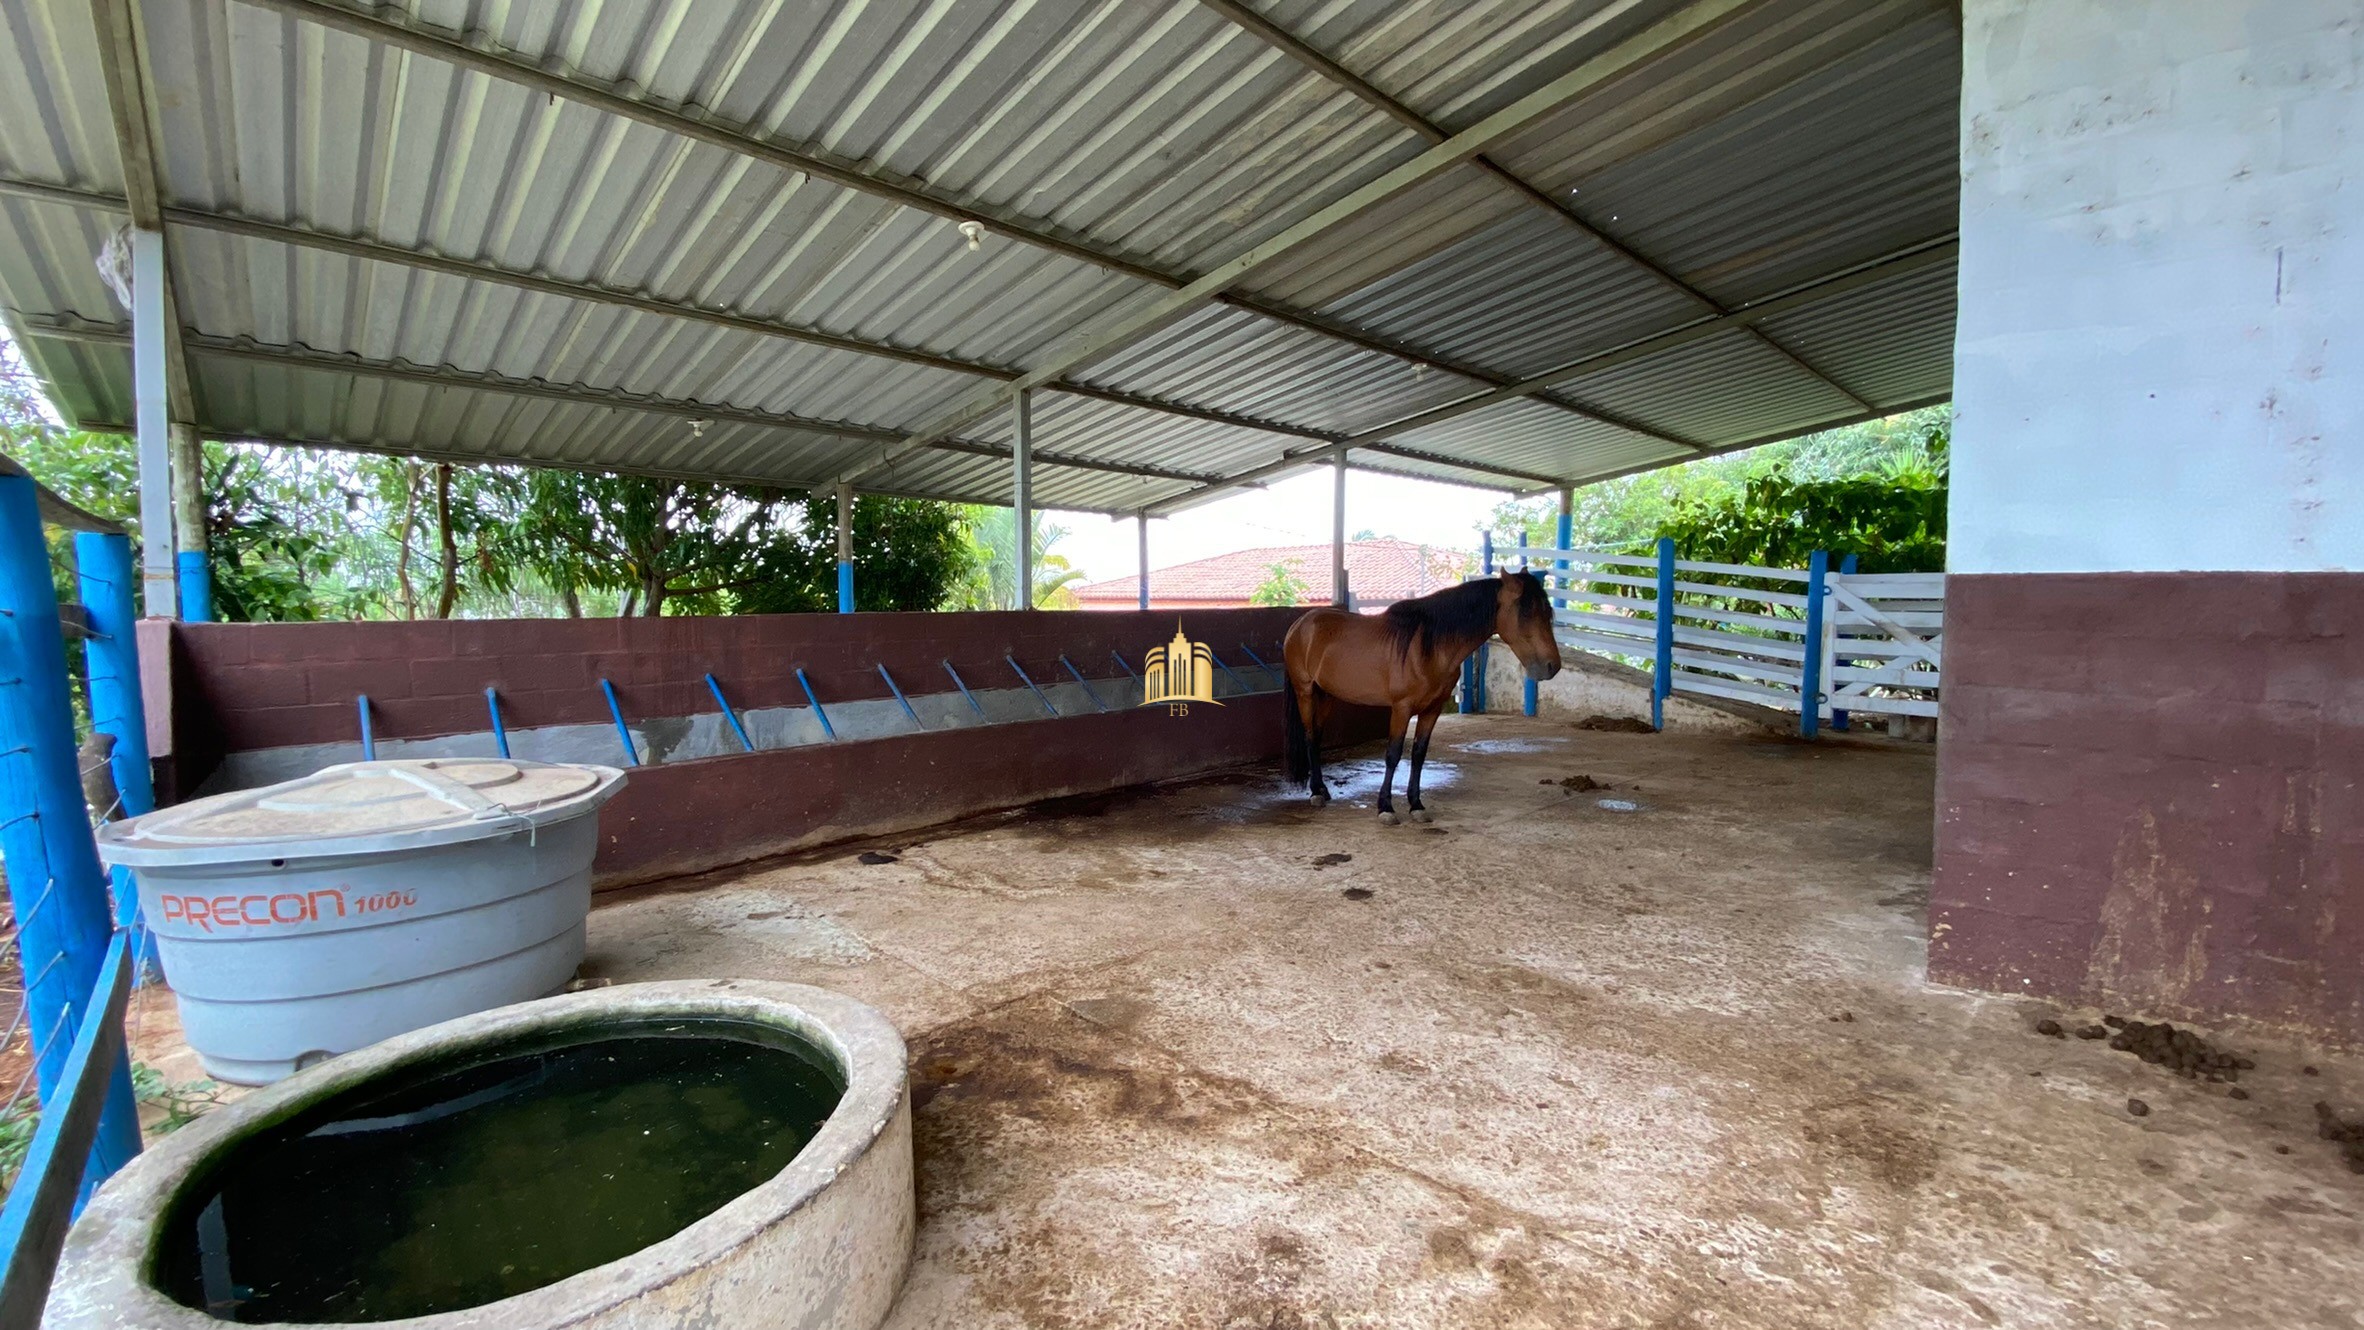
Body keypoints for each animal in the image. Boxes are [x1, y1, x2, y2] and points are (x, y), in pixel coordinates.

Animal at [1286, 578, 1560, 826]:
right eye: (1527, 613)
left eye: (1547, 612)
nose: (1552, 666)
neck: (1429, 647)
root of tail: (1300, 625)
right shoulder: (1401, 708)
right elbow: (1393, 755)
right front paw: (1385, 808)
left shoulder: (1432, 709)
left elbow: (1418, 754)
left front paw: (1416, 805)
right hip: (1305, 692)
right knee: (1310, 737)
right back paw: (1315, 793)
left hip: (1326, 695)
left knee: (1317, 738)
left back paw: (1322, 789)